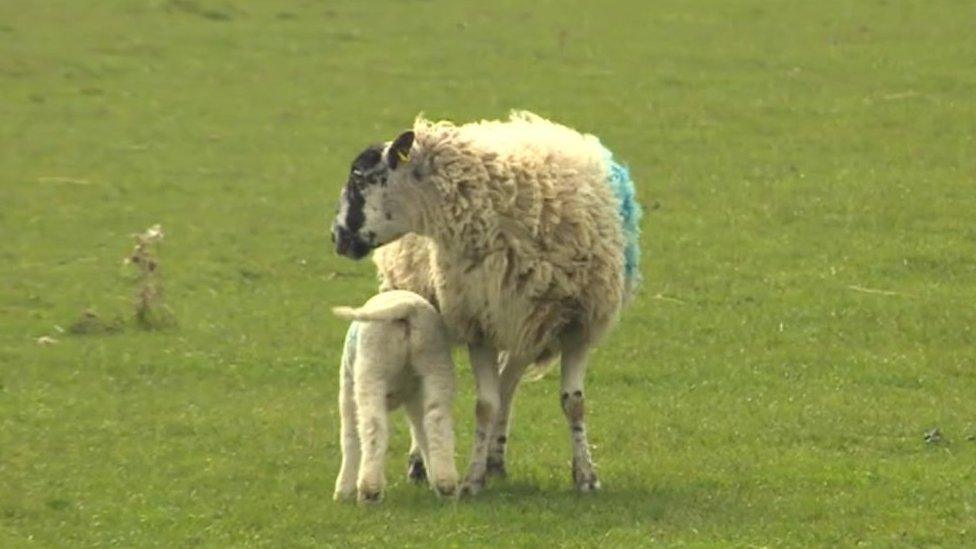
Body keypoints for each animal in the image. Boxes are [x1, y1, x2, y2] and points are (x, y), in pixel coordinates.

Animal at [332, 288, 458, 504]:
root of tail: (407, 308)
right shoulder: (415, 398)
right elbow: (421, 433)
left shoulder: (347, 388)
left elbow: (349, 437)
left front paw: (342, 490)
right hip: (435, 362)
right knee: (436, 422)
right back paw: (446, 485)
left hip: (371, 367)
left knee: (373, 427)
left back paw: (369, 490)